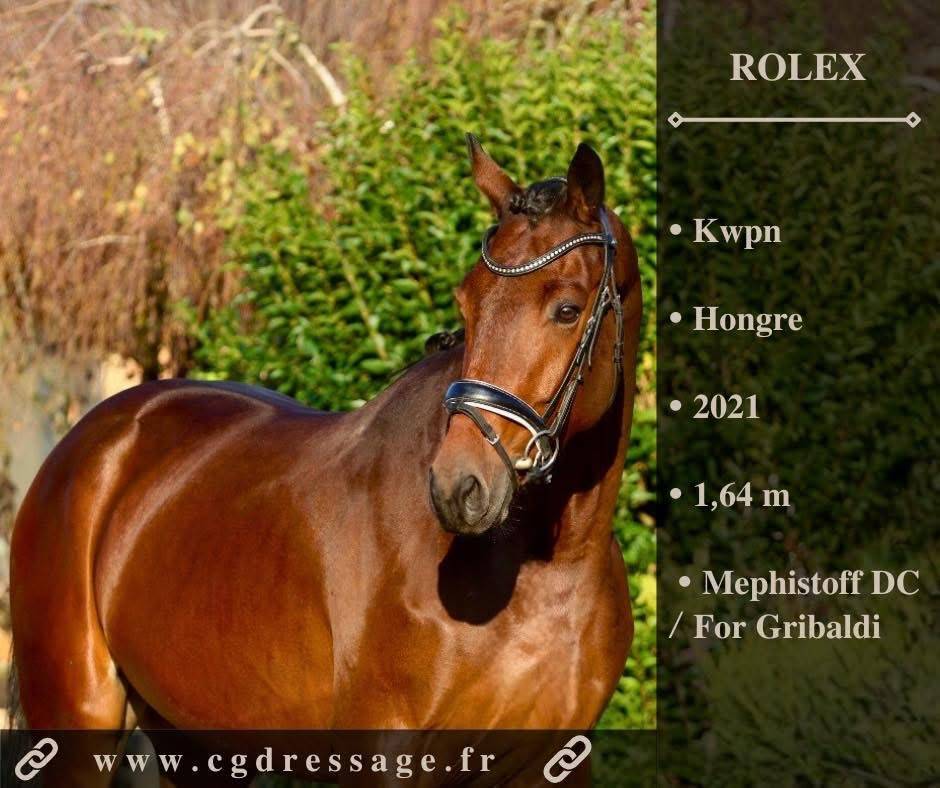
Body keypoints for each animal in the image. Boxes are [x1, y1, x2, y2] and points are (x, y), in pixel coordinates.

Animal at [8, 136, 642, 785]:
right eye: (467, 303)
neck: (548, 568)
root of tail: (93, 441)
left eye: (567, 309)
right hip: (80, 719)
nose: (459, 486)